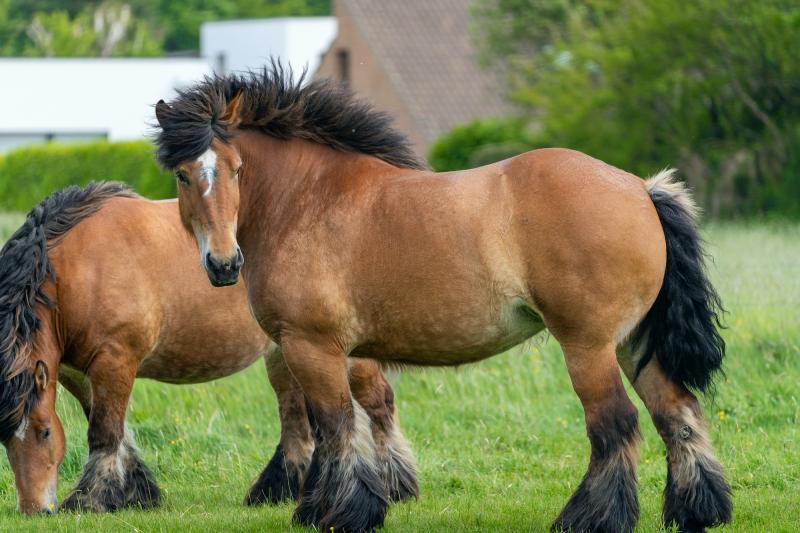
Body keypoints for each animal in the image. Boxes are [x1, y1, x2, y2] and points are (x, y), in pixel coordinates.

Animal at [1, 182, 418, 512]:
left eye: (44, 432)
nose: (34, 510)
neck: (79, 268)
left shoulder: (115, 360)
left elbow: (104, 432)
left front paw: (90, 500)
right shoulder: (77, 371)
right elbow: (115, 431)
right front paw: (138, 493)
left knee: (378, 403)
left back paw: (397, 485)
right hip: (285, 355)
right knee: (298, 422)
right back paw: (279, 491)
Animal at [153, 65, 736, 532]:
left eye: (235, 170)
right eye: (183, 174)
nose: (223, 265)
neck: (306, 201)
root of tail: (641, 188)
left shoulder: (311, 347)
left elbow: (335, 427)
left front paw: (342, 512)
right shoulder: (337, 353)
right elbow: (341, 425)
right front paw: (323, 507)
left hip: (588, 347)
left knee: (615, 426)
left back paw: (590, 518)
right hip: (633, 343)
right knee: (676, 413)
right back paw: (697, 510)